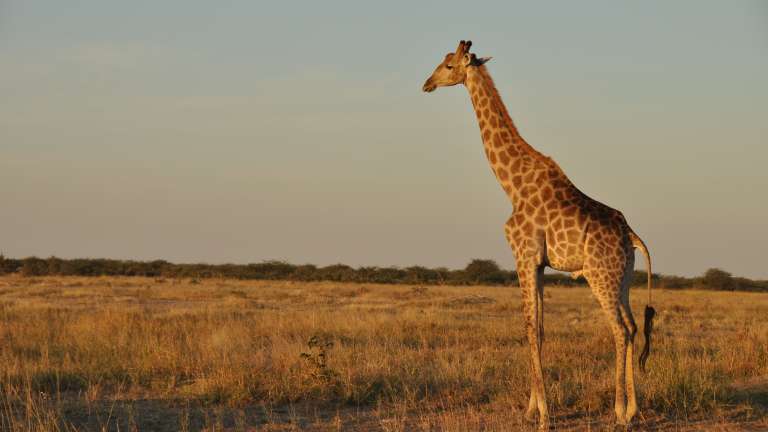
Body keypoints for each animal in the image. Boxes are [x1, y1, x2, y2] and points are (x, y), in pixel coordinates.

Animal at [422, 40, 656, 429]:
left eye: (449, 65)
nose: (426, 84)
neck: (511, 185)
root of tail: (632, 236)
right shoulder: (542, 263)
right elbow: (541, 330)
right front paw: (532, 408)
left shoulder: (523, 254)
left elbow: (529, 328)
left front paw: (545, 415)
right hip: (624, 276)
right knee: (634, 325)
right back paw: (635, 409)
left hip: (600, 276)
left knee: (620, 330)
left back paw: (620, 412)